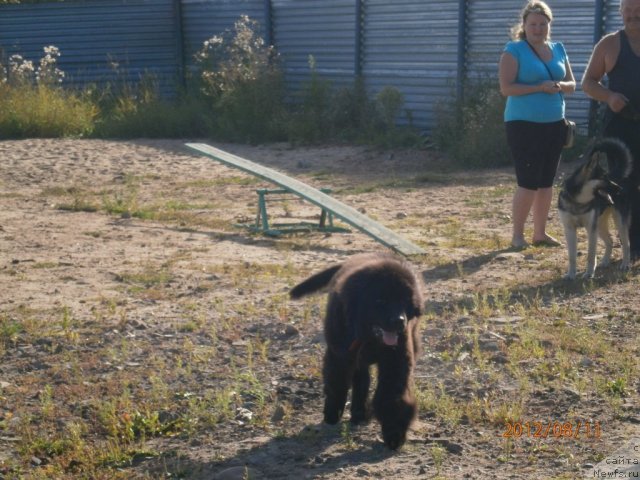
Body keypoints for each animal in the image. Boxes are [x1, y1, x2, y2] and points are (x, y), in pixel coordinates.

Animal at [292, 253, 424, 448]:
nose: (400, 321)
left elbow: (391, 394)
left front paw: (394, 433)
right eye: (380, 300)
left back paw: (359, 413)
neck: (368, 337)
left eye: (404, 300)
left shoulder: (396, 360)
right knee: (360, 380)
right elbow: (337, 384)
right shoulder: (339, 354)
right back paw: (357, 413)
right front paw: (332, 413)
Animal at [556, 137, 632, 280]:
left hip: (618, 223)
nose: (619, 189)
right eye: (604, 178)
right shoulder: (569, 229)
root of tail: (616, 175)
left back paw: (625, 264)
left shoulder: (591, 229)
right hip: (600, 225)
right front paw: (571, 274)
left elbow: (591, 254)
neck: (578, 201)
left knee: (626, 244)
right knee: (610, 241)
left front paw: (589, 273)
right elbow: (572, 256)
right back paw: (606, 261)